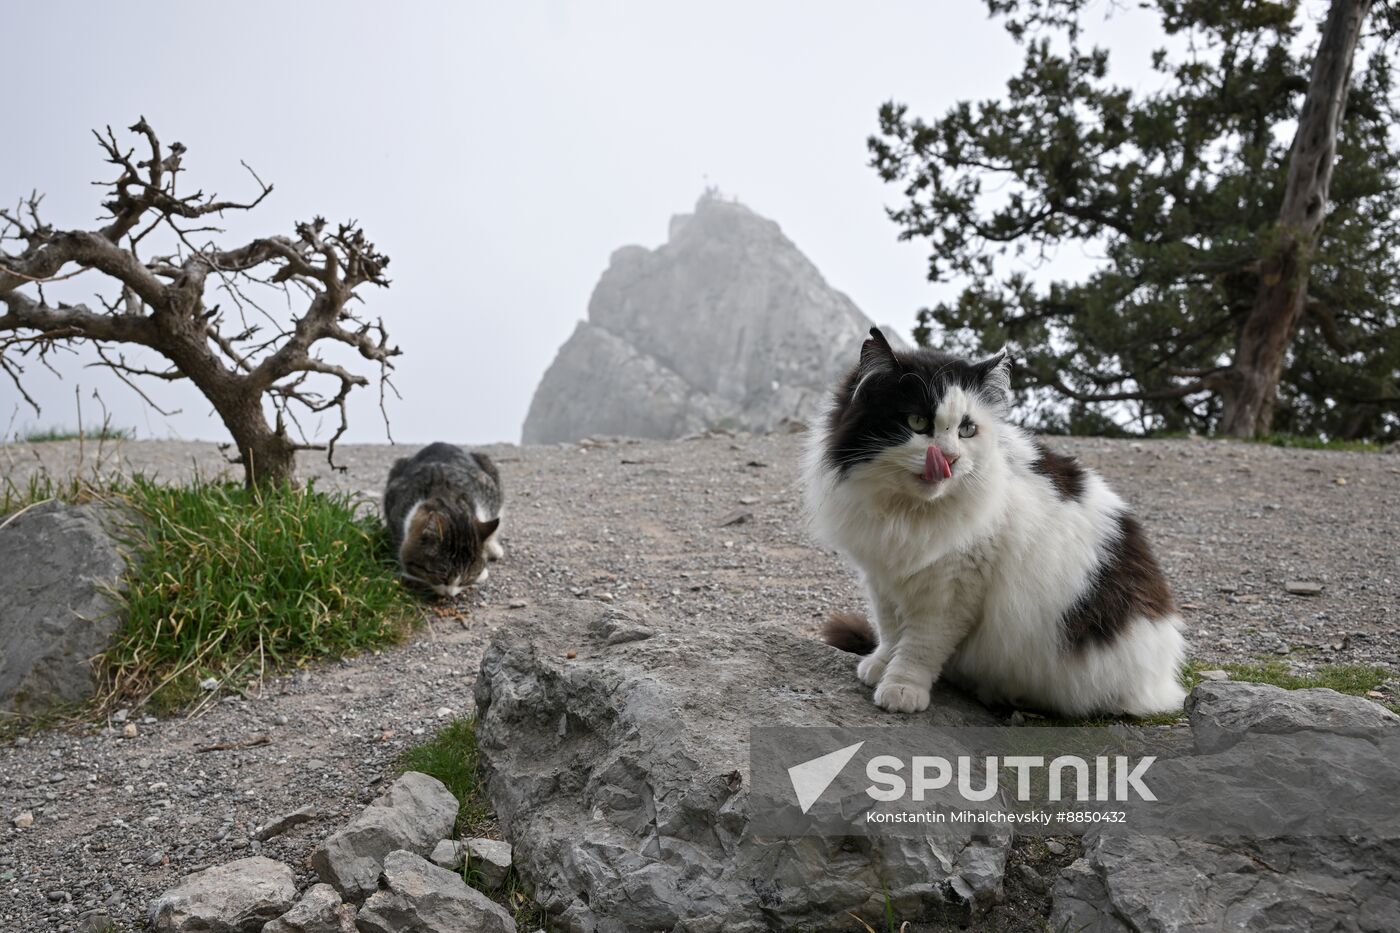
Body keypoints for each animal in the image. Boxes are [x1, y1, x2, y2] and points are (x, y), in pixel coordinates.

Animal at [806, 330, 1187, 714]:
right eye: (917, 423)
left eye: (967, 430)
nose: (949, 458)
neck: (909, 512)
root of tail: (1165, 682)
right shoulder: (883, 576)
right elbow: (890, 631)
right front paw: (880, 665)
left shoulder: (953, 591)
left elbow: (920, 646)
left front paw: (901, 689)